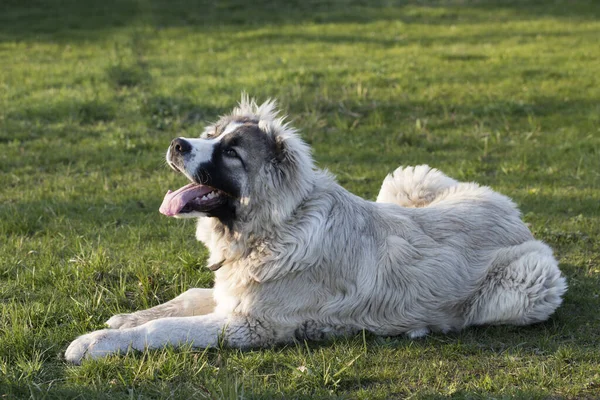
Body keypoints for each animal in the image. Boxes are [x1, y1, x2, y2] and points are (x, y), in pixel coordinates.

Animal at [67, 97, 568, 366]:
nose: (176, 144)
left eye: (230, 152)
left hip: (529, 283)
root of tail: (511, 210)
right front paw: (126, 318)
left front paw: (94, 342)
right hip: (404, 179)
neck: (276, 226)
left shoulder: (250, 325)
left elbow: (166, 328)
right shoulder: (233, 296)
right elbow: (187, 297)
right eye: (212, 135)